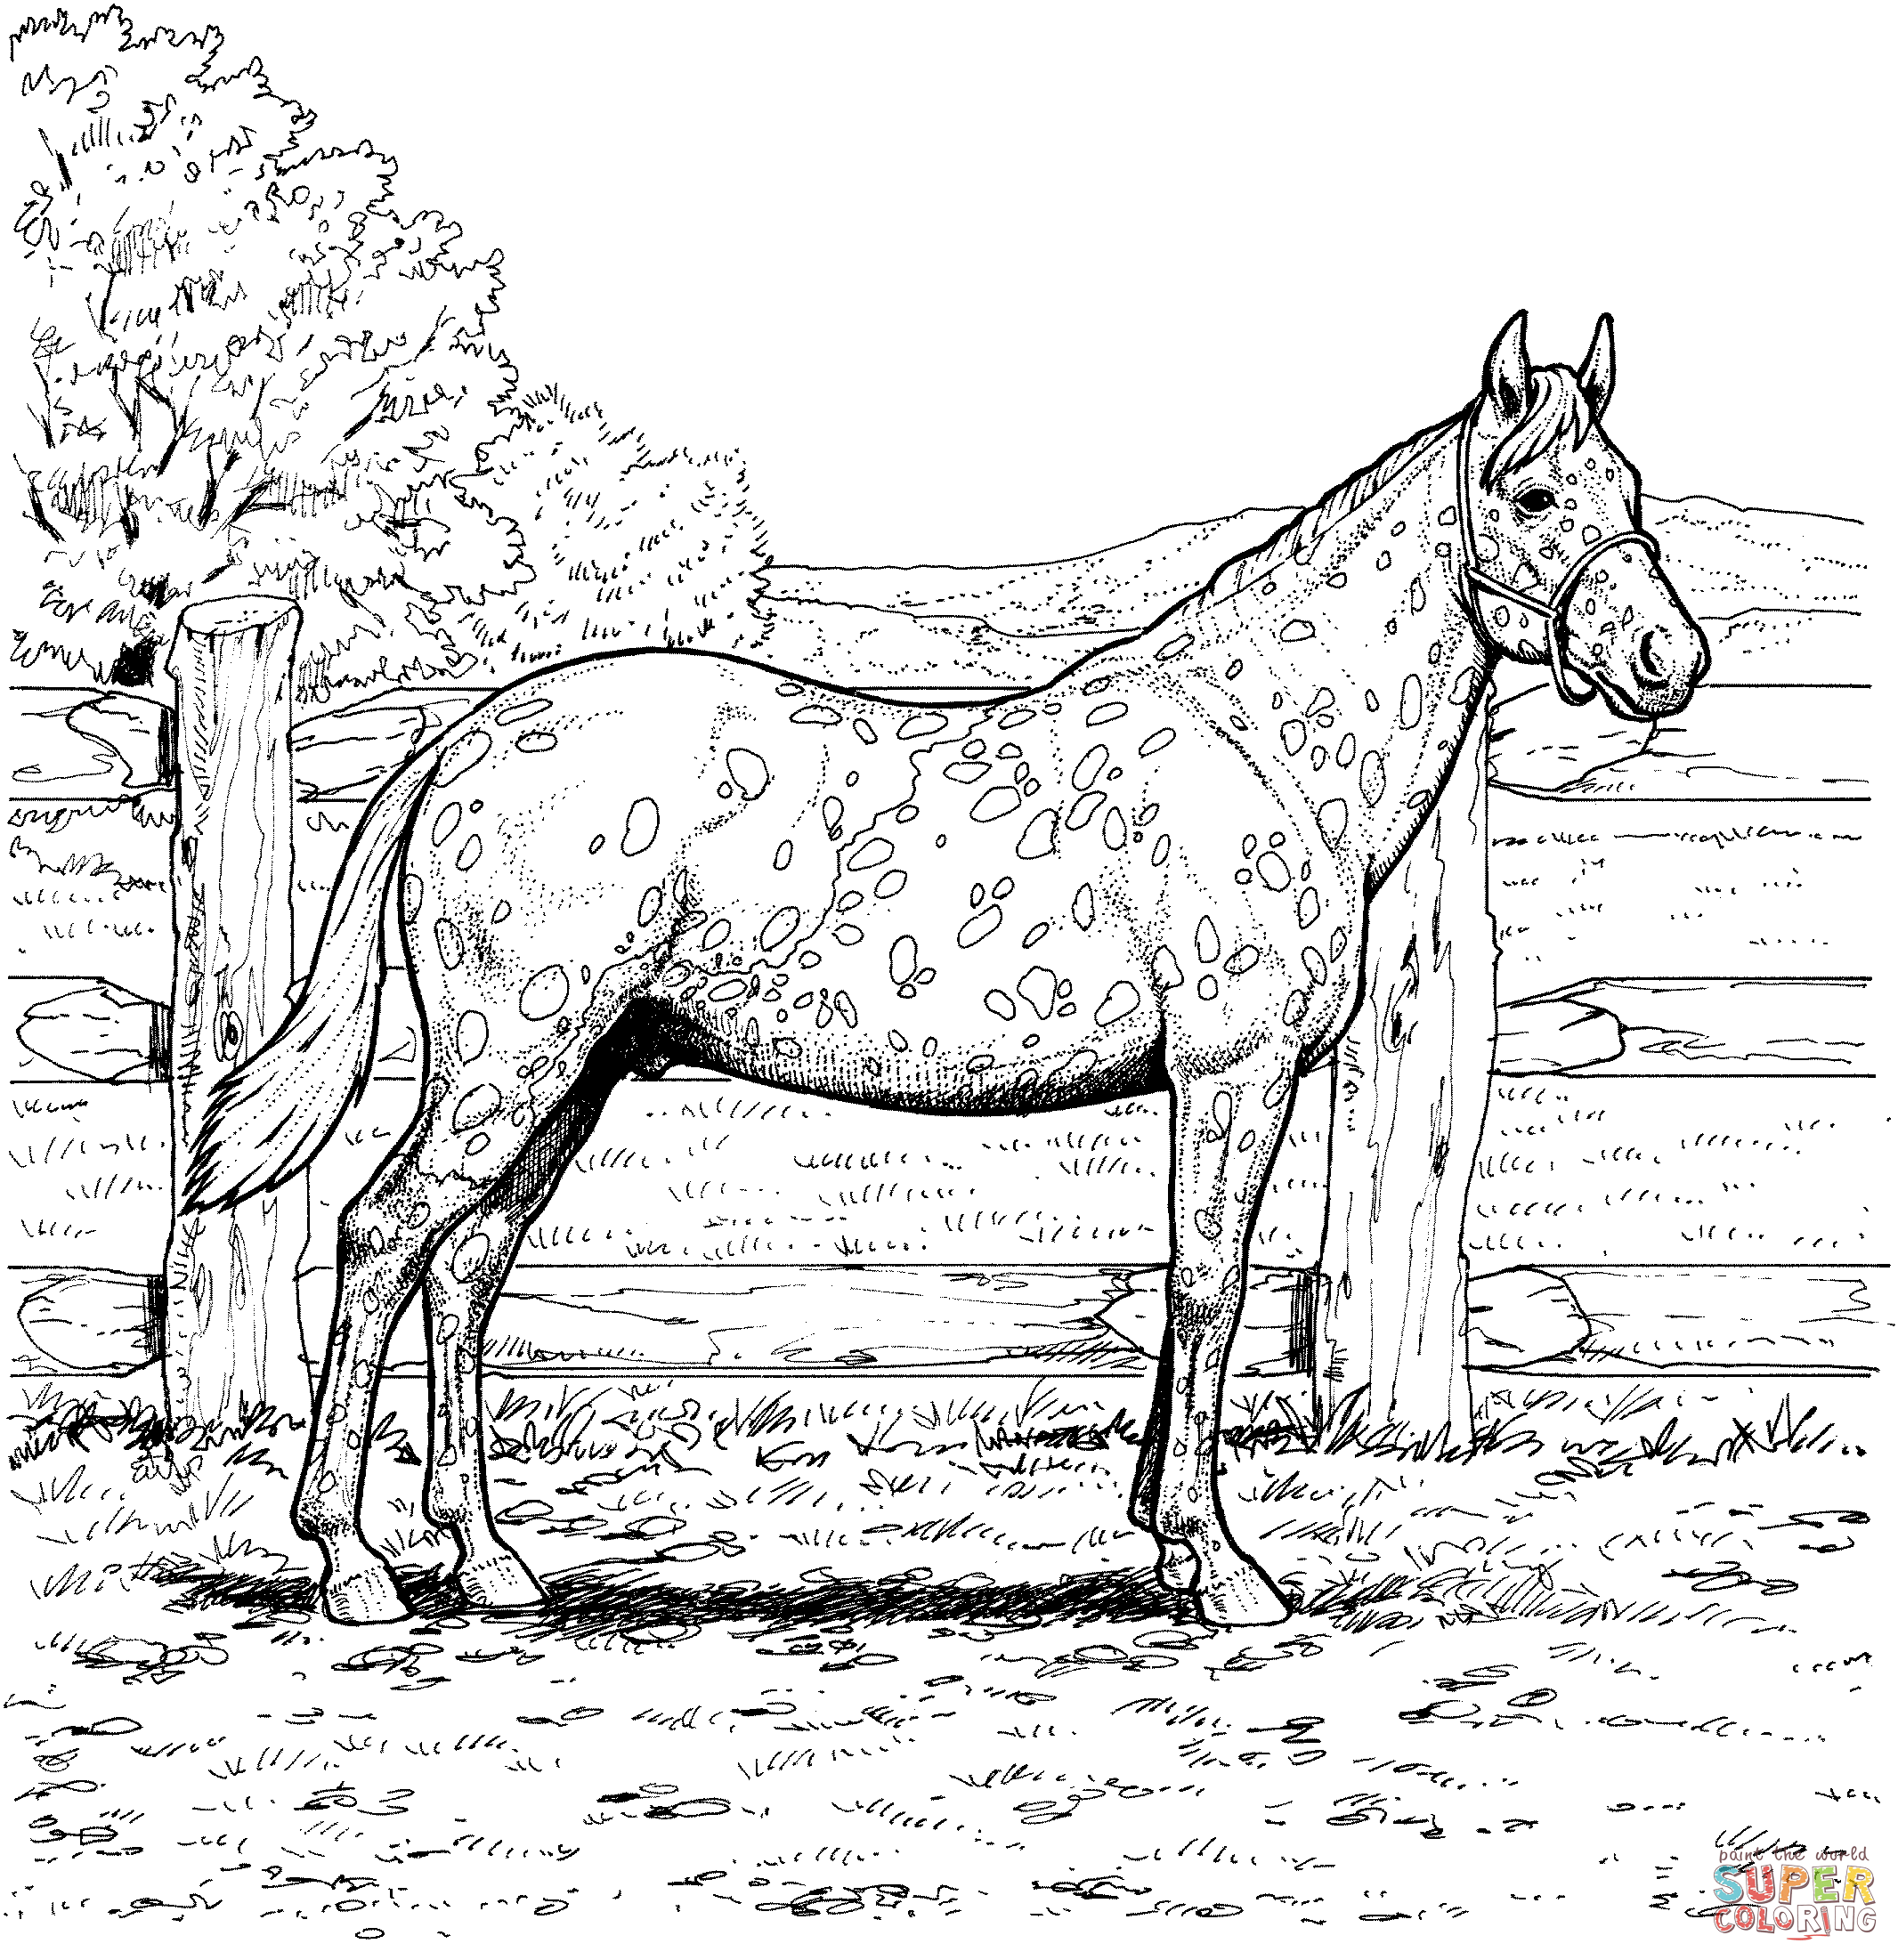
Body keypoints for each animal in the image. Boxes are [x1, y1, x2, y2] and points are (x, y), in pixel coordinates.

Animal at [185, 311, 1709, 1628]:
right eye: (1529, 493)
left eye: (1627, 484)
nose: (1669, 659)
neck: (1260, 737)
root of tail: (465, 736)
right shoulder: (1235, 1074)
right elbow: (1207, 1286)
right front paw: (1219, 1563)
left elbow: (1186, 1285)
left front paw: (1164, 1536)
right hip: (511, 1061)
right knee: (381, 1237)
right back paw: (350, 1563)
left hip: (577, 1072)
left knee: (467, 1267)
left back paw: (493, 1560)